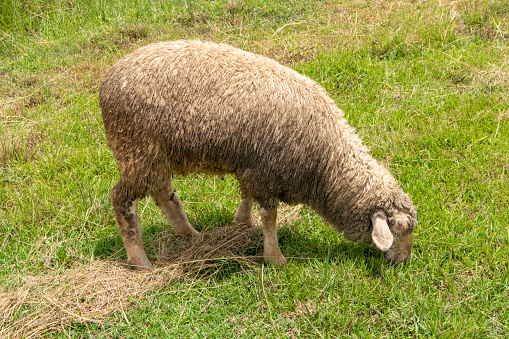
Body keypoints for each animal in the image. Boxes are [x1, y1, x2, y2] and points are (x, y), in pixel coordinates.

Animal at [99, 40, 416, 270]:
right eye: (398, 229)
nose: (403, 262)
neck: (325, 161)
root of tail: (108, 80)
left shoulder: (253, 166)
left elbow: (246, 196)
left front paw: (241, 222)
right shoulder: (266, 172)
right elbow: (270, 218)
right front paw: (274, 258)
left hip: (156, 155)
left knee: (163, 194)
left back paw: (191, 235)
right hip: (136, 148)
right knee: (122, 200)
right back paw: (140, 261)